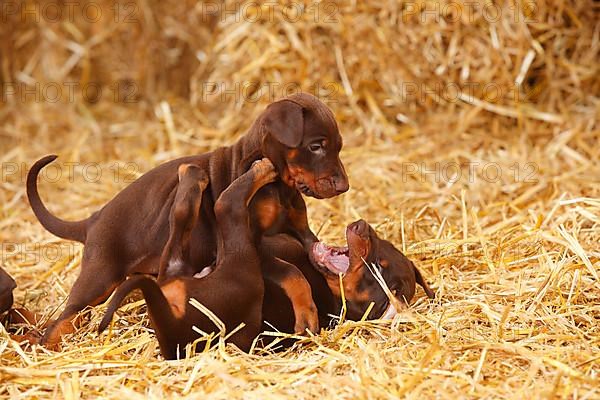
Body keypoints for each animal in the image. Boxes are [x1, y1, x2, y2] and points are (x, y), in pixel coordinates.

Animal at [98, 158, 276, 358]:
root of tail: (170, 321)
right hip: (240, 265)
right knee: (225, 205)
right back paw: (263, 168)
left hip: (174, 264)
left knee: (182, 212)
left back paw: (191, 172)